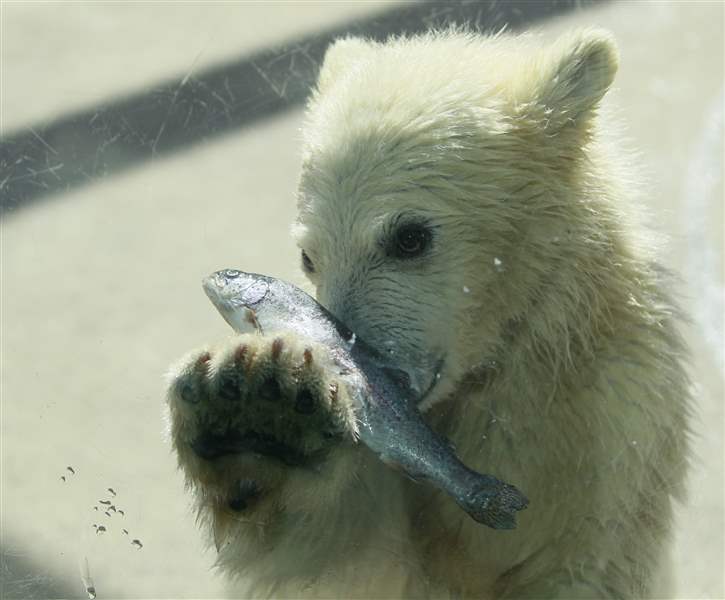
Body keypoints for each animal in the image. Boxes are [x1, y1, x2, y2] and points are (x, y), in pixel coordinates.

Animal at [166, 28, 691, 599]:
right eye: (308, 256)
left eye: (410, 237)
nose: (363, 360)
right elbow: (354, 564)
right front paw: (260, 408)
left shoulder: (606, 417)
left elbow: (582, 557)